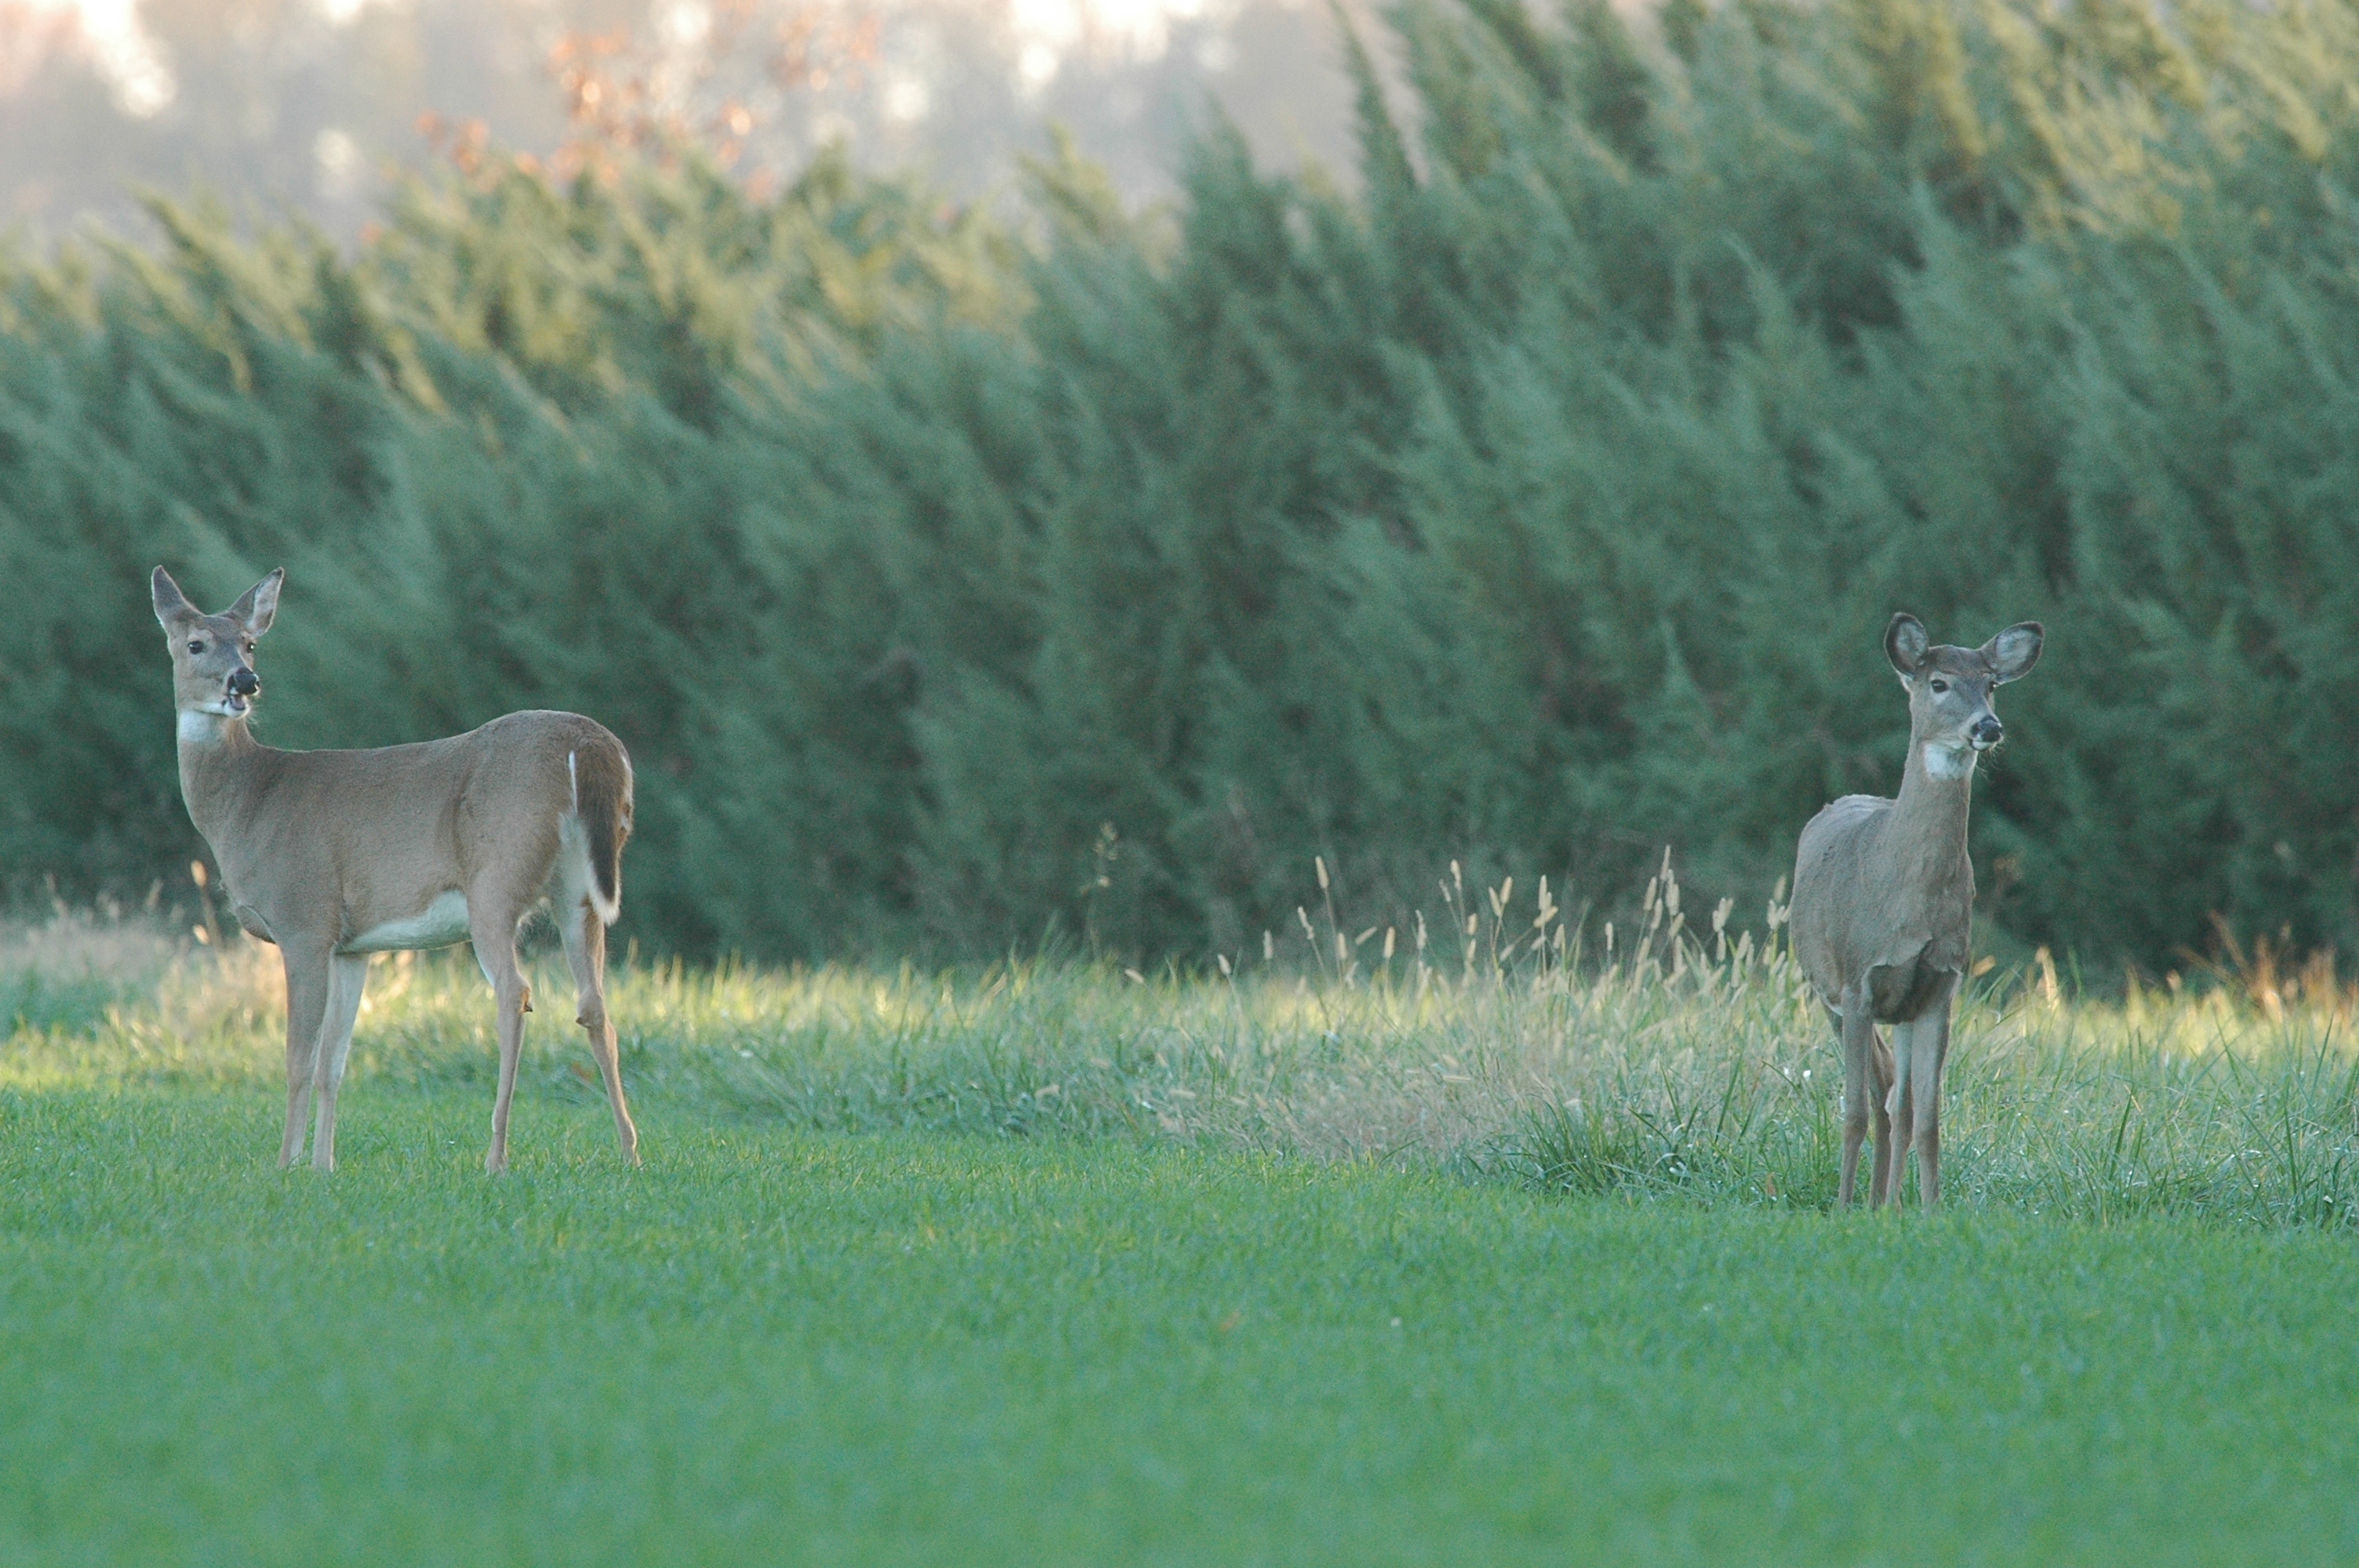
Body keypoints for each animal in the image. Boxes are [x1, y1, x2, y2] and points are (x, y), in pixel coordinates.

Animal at [152, 568, 642, 1169]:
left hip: (496, 878)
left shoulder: (303, 919)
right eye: (196, 644)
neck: (249, 801)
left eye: (249, 643)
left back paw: (496, 1157)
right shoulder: (352, 947)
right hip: (579, 887)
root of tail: (588, 744)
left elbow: (297, 1059)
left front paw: (286, 1162)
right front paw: (323, 1166)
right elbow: (333, 1065)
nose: (245, 682)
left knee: (515, 992)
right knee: (595, 1007)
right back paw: (630, 1153)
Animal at [1783, 603, 2047, 1202]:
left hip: (1898, 1010)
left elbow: (1927, 1120)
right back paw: (1868, 1200)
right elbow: (1853, 1113)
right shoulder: (1857, 980)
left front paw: (1927, 1211)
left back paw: (1886, 1203)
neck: (1909, 897)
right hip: (1825, 991)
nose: (1987, 726)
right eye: (1939, 683)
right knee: (1875, 1098)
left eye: (1991, 685)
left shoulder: (1938, 987)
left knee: (1894, 1101)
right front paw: (1842, 1206)